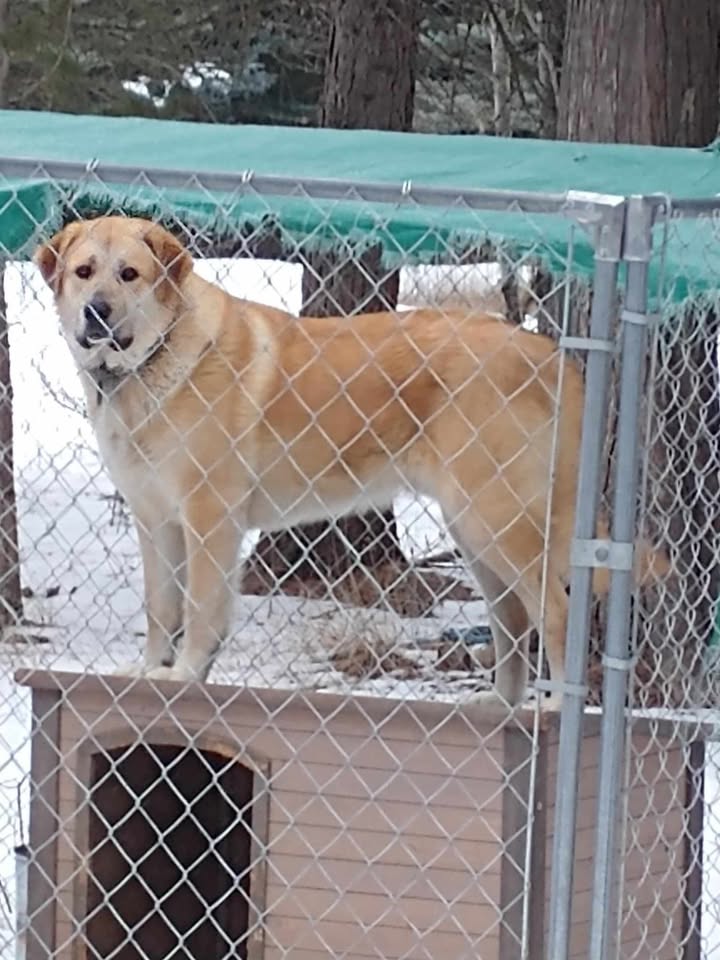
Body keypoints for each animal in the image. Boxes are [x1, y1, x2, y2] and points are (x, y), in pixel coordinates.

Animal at [33, 218, 664, 708]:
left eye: (129, 274)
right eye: (84, 272)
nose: (96, 312)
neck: (153, 358)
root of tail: (552, 357)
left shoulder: (210, 519)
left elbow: (201, 609)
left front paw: (185, 674)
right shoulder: (155, 520)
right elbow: (162, 607)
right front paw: (149, 672)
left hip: (500, 519)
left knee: (553, 613)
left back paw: (551, 710)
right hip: (474, 528)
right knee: (511, 621)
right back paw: (499, 707)